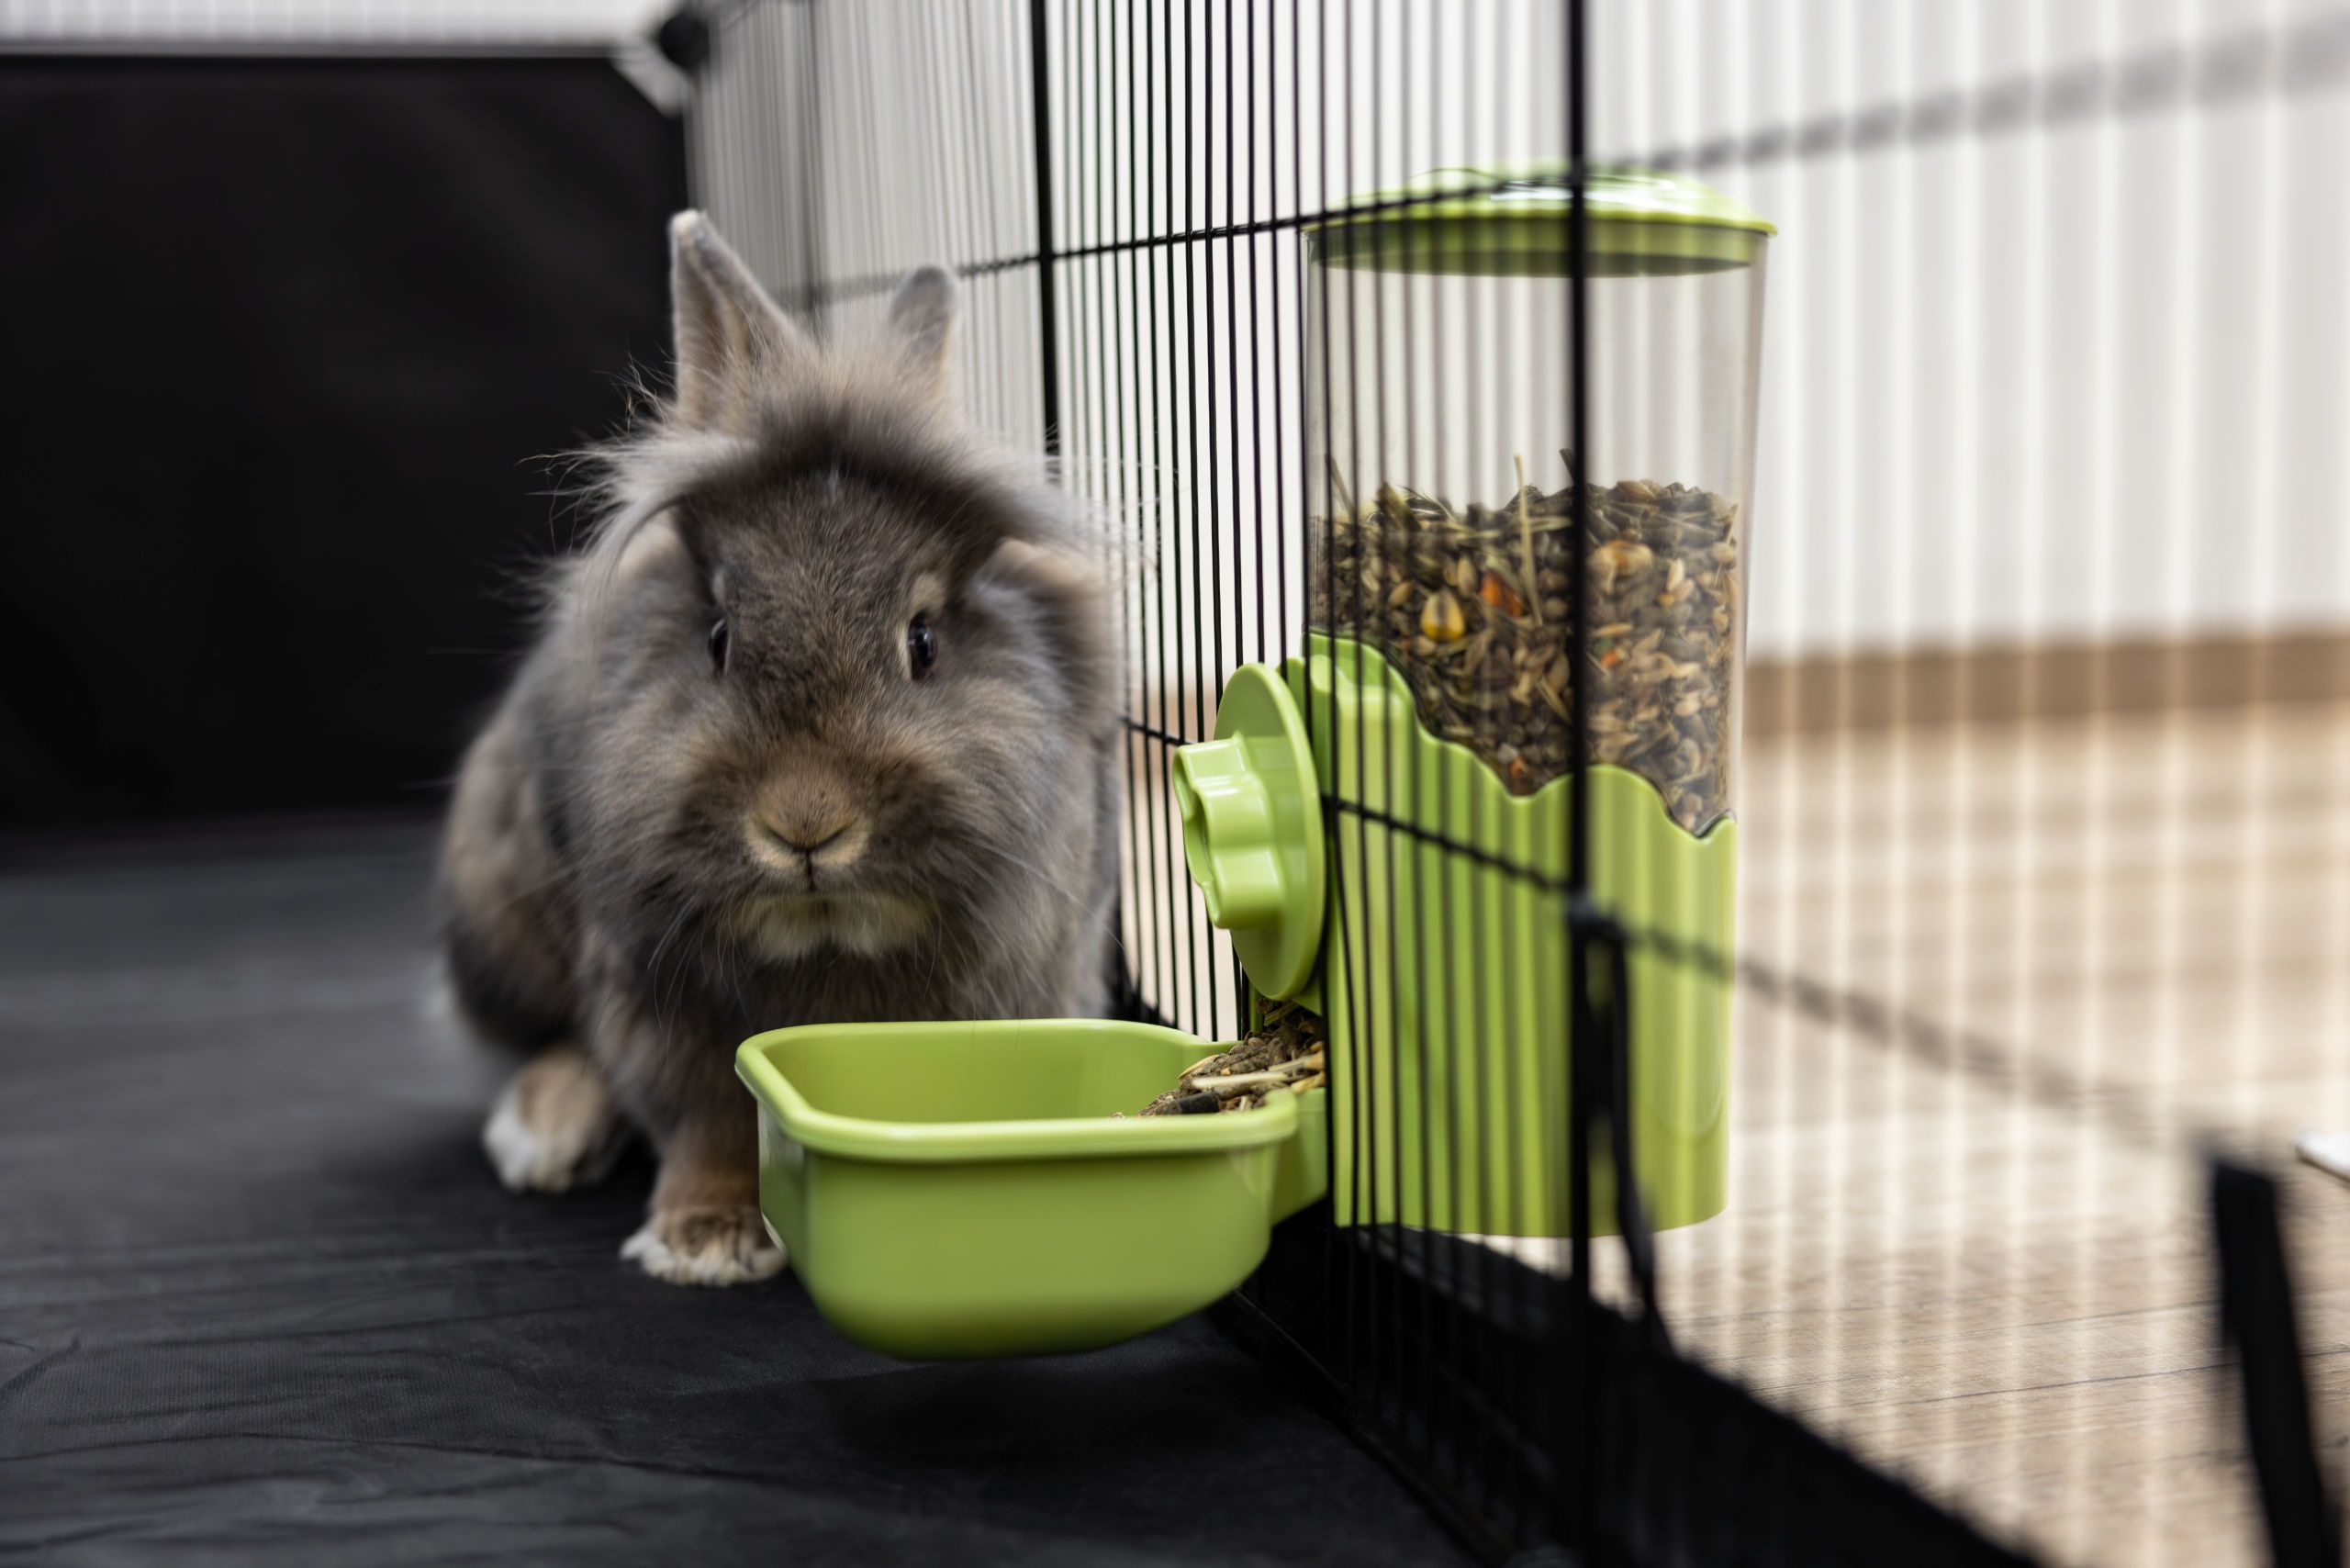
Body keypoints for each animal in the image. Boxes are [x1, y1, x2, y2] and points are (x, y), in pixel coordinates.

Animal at [436, 212, 1124, 1285]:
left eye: (923, 640)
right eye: (718, 636)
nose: (806, 826)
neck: (824, 937)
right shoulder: (658, 1002)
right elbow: (708, 1121)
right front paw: (705, 1240)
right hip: (497, 907)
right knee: (550, 1038)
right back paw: (544, 1133)